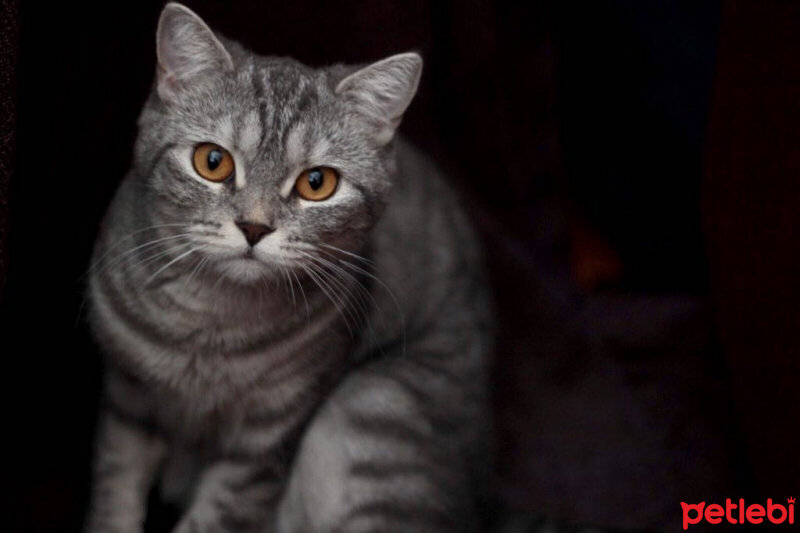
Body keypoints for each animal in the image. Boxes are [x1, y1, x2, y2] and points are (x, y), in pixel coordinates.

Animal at [84, 4, 490, 532]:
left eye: (317, 183)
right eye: (212, 161)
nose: (254, 227)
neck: (209, 330)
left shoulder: (263, 444)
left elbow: (215, 517)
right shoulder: (126, 398)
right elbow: (115, 489)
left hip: (374, 410)